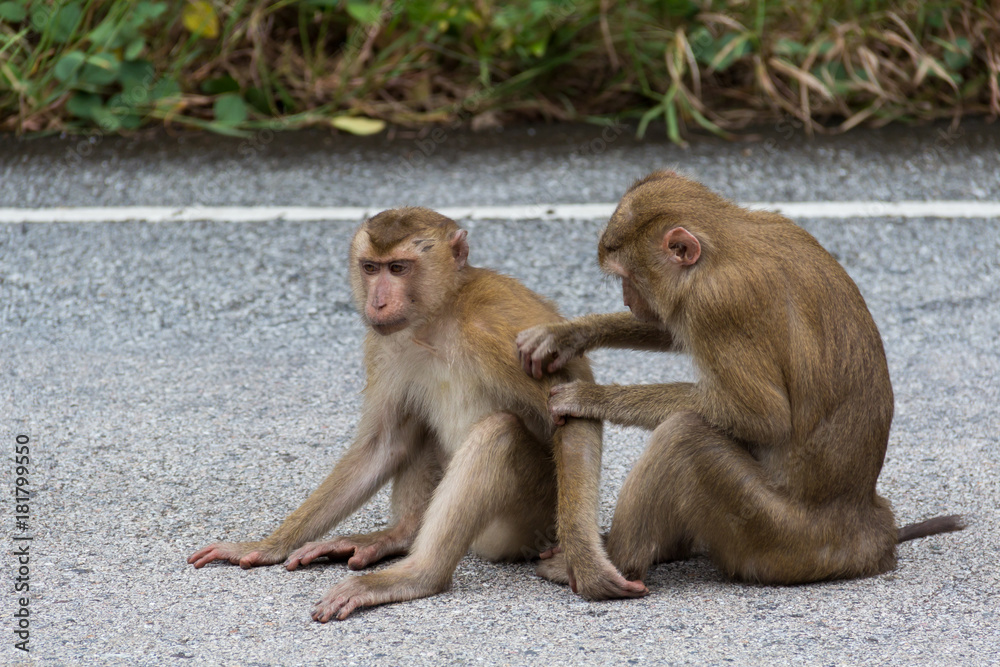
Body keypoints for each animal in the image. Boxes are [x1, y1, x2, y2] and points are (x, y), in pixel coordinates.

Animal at [186, 207, 648, 620]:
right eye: (371, 268)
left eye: (399, 268)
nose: (378, 301)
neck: (440, 316)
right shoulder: (384, 345)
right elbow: (383, 444)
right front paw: (265, 546)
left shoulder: (501, 332)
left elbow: (570, 414)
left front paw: (585, 564)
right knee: (418, 427)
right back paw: (398, 536)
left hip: (524, 525)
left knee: (499, 433)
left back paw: (417, 575)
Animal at [516, 171, 960, 588]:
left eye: (628, 276)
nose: (628, 300)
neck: (724, 244)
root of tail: (868, 531)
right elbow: (670, 326)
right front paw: (566, 335)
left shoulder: (718, 303)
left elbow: (762, 417)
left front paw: (590, 396)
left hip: (776, 535)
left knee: (684, 436)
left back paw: (613, 562)